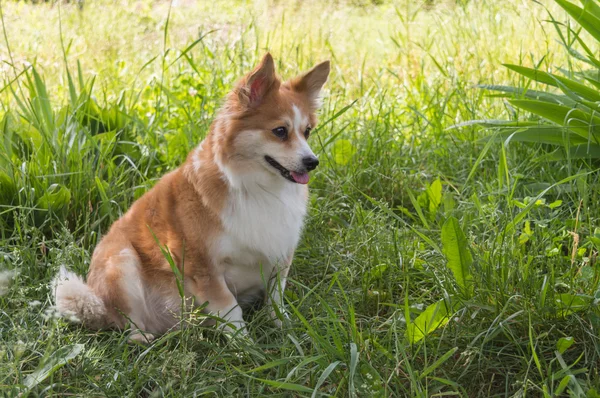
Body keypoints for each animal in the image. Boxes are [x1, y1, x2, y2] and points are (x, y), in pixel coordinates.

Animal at [52, 52, 330, 342]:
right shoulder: (203, 268)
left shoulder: (280, 254)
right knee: (130, 326)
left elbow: (276, 298)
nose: (312, 162)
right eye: (280, 131)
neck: (255, 186)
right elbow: (230, 308)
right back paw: (148, 339)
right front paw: (244, 344)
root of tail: (98, 304)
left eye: (307, 131)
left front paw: (285, 328)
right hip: (121, 262)